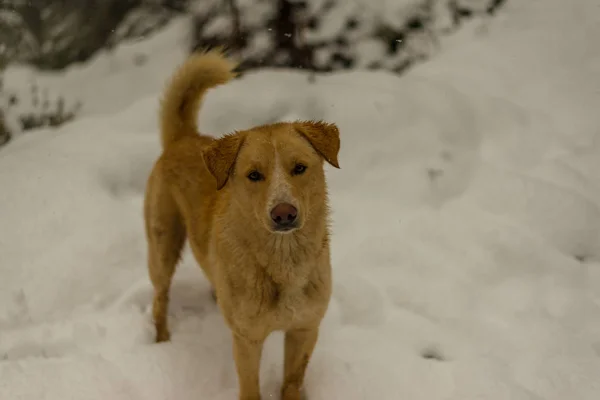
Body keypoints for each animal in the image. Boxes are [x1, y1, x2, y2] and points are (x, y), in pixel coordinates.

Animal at [144, 50, 342, 400]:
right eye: (254, 175)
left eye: (299, 168)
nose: (284, 213)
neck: (283, 263)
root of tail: (183, 138)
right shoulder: (247, 339)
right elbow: (251, 389)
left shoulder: (304, 328)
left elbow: (292, 381)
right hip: (162, 248)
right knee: (159, 300)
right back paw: (162, 341)